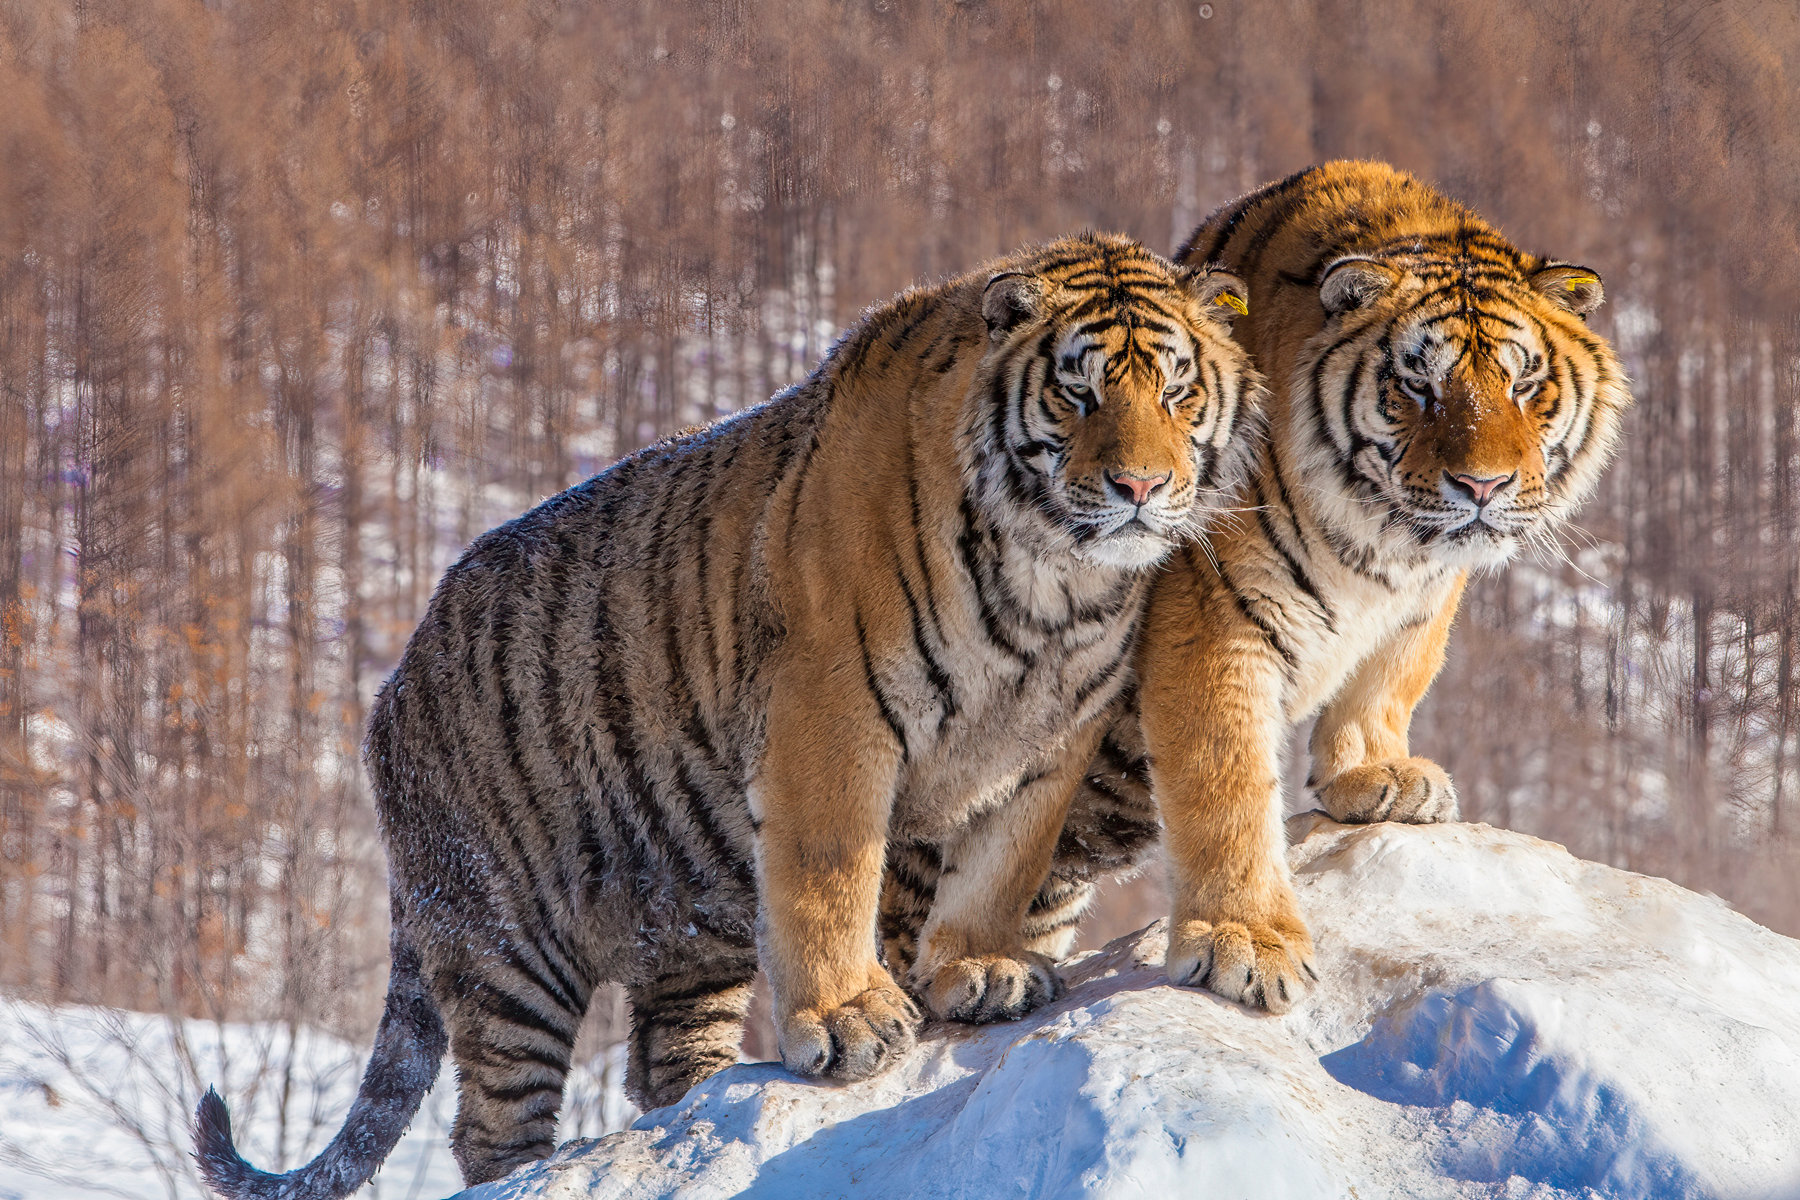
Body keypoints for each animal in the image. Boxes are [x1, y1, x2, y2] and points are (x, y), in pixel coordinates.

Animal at [193, 230, 1267, 1194]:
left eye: (1176, 392)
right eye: (1078, 392)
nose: (1140, 486)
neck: (1055, 587)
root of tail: (389, 688)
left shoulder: (1051, 735)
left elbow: (1004, 865)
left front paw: (979, 969)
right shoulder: (832, 712)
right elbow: (832, 877)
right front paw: (851, 1020)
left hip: (686, 934)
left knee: (662, 1068)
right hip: (506, 945)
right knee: (492, 1128)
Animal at [882, 159, 1634, 1014]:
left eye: (1525, 385)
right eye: (1418, 387)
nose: (1483, 486)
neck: (1382, 540)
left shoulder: (1422, 600)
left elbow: (1392, 675)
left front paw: (1375, 774)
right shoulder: (1212, 622)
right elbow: (1229, 787)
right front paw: (1246, 942)